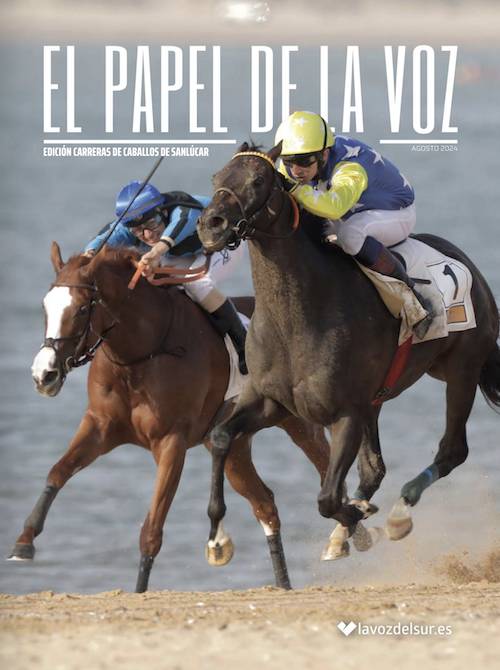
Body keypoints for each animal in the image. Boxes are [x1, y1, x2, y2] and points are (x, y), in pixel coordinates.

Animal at [7, 243, 332, 591]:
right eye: (45, 307)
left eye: (81, 309)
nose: (44, 374)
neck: (139, 354)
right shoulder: (99, 427)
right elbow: (58, 472)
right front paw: (24, 542)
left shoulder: (170, 442)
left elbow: (152, 530)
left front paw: (141, 590)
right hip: (234, 447)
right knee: (265, 504)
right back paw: (283, 582)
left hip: (299, 424)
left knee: (326, 466)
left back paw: (342, 538)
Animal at [197, 143, 500, 566]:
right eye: (216, 178)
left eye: (257, 180)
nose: (211, 225)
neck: (297, 318)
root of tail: (471, 268)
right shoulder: (272, 402)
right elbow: (222, 436)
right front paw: (217, 538)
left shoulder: (346, 413)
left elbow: (327, 498)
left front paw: (358, 518)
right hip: (387, 395)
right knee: (374, 469)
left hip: (461, 370)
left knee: (452, 450)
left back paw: (398, 514)